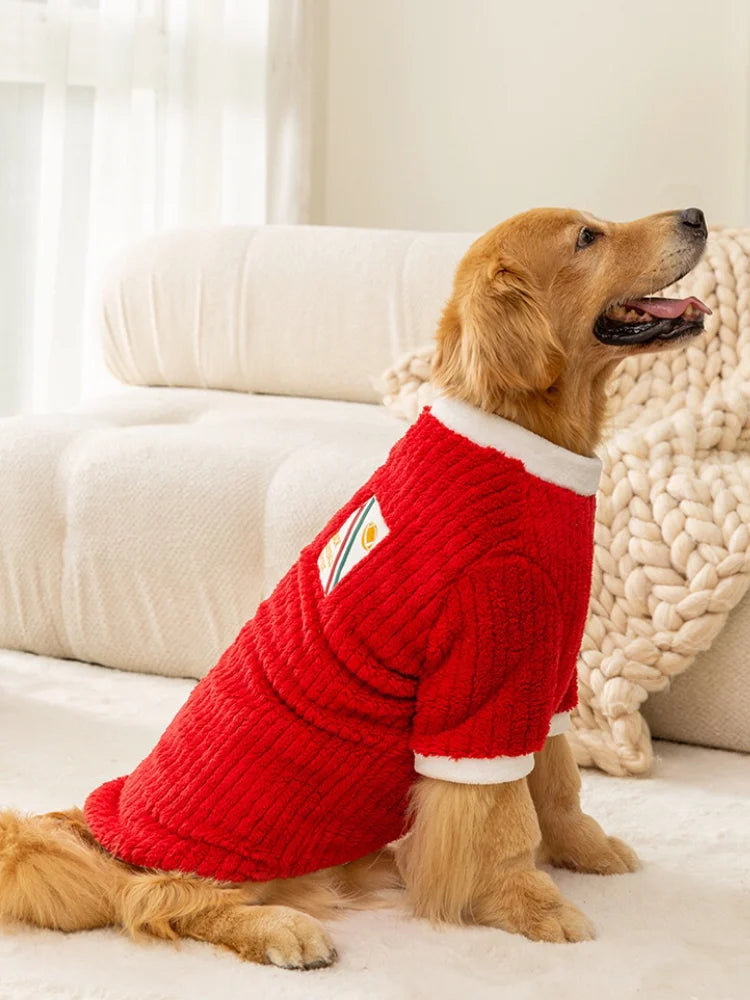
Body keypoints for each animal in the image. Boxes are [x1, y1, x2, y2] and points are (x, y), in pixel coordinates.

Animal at [0, 205, 712, 968]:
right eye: (586, 238)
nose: (697, 214)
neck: (526, 446)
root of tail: (111, 831)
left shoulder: (542, 677)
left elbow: (559, 788)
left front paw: (586, 851)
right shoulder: (479, 690)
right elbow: (503, 821)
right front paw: (532, 905)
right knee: (160, 897)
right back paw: (282, 929)